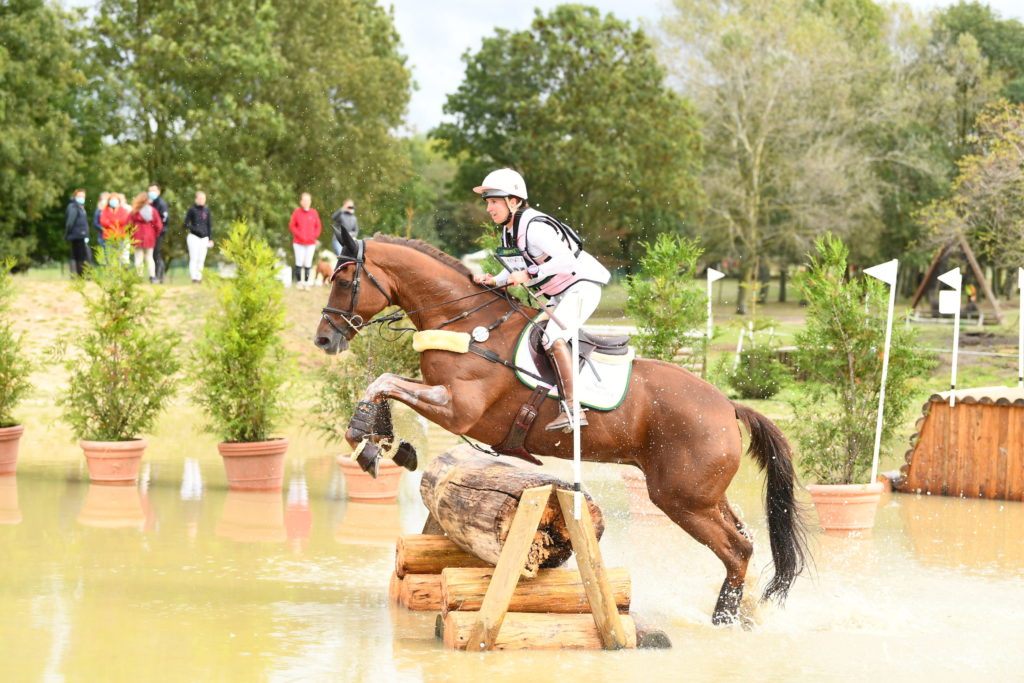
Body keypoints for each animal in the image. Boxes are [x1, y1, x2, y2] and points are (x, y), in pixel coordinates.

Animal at [313, 229, 806, 626]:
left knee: (736, 550)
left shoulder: (458, 409)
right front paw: (384, 444)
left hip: (680, 498)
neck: (468, 325)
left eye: (343, 280)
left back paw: (723, 619)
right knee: (744, 540)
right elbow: (385, 384)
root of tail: (728, 406)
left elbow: (383, 382)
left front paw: (368, 443)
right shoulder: (445, 401)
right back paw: (745, 613)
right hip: (704, 494)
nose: (324, 338)